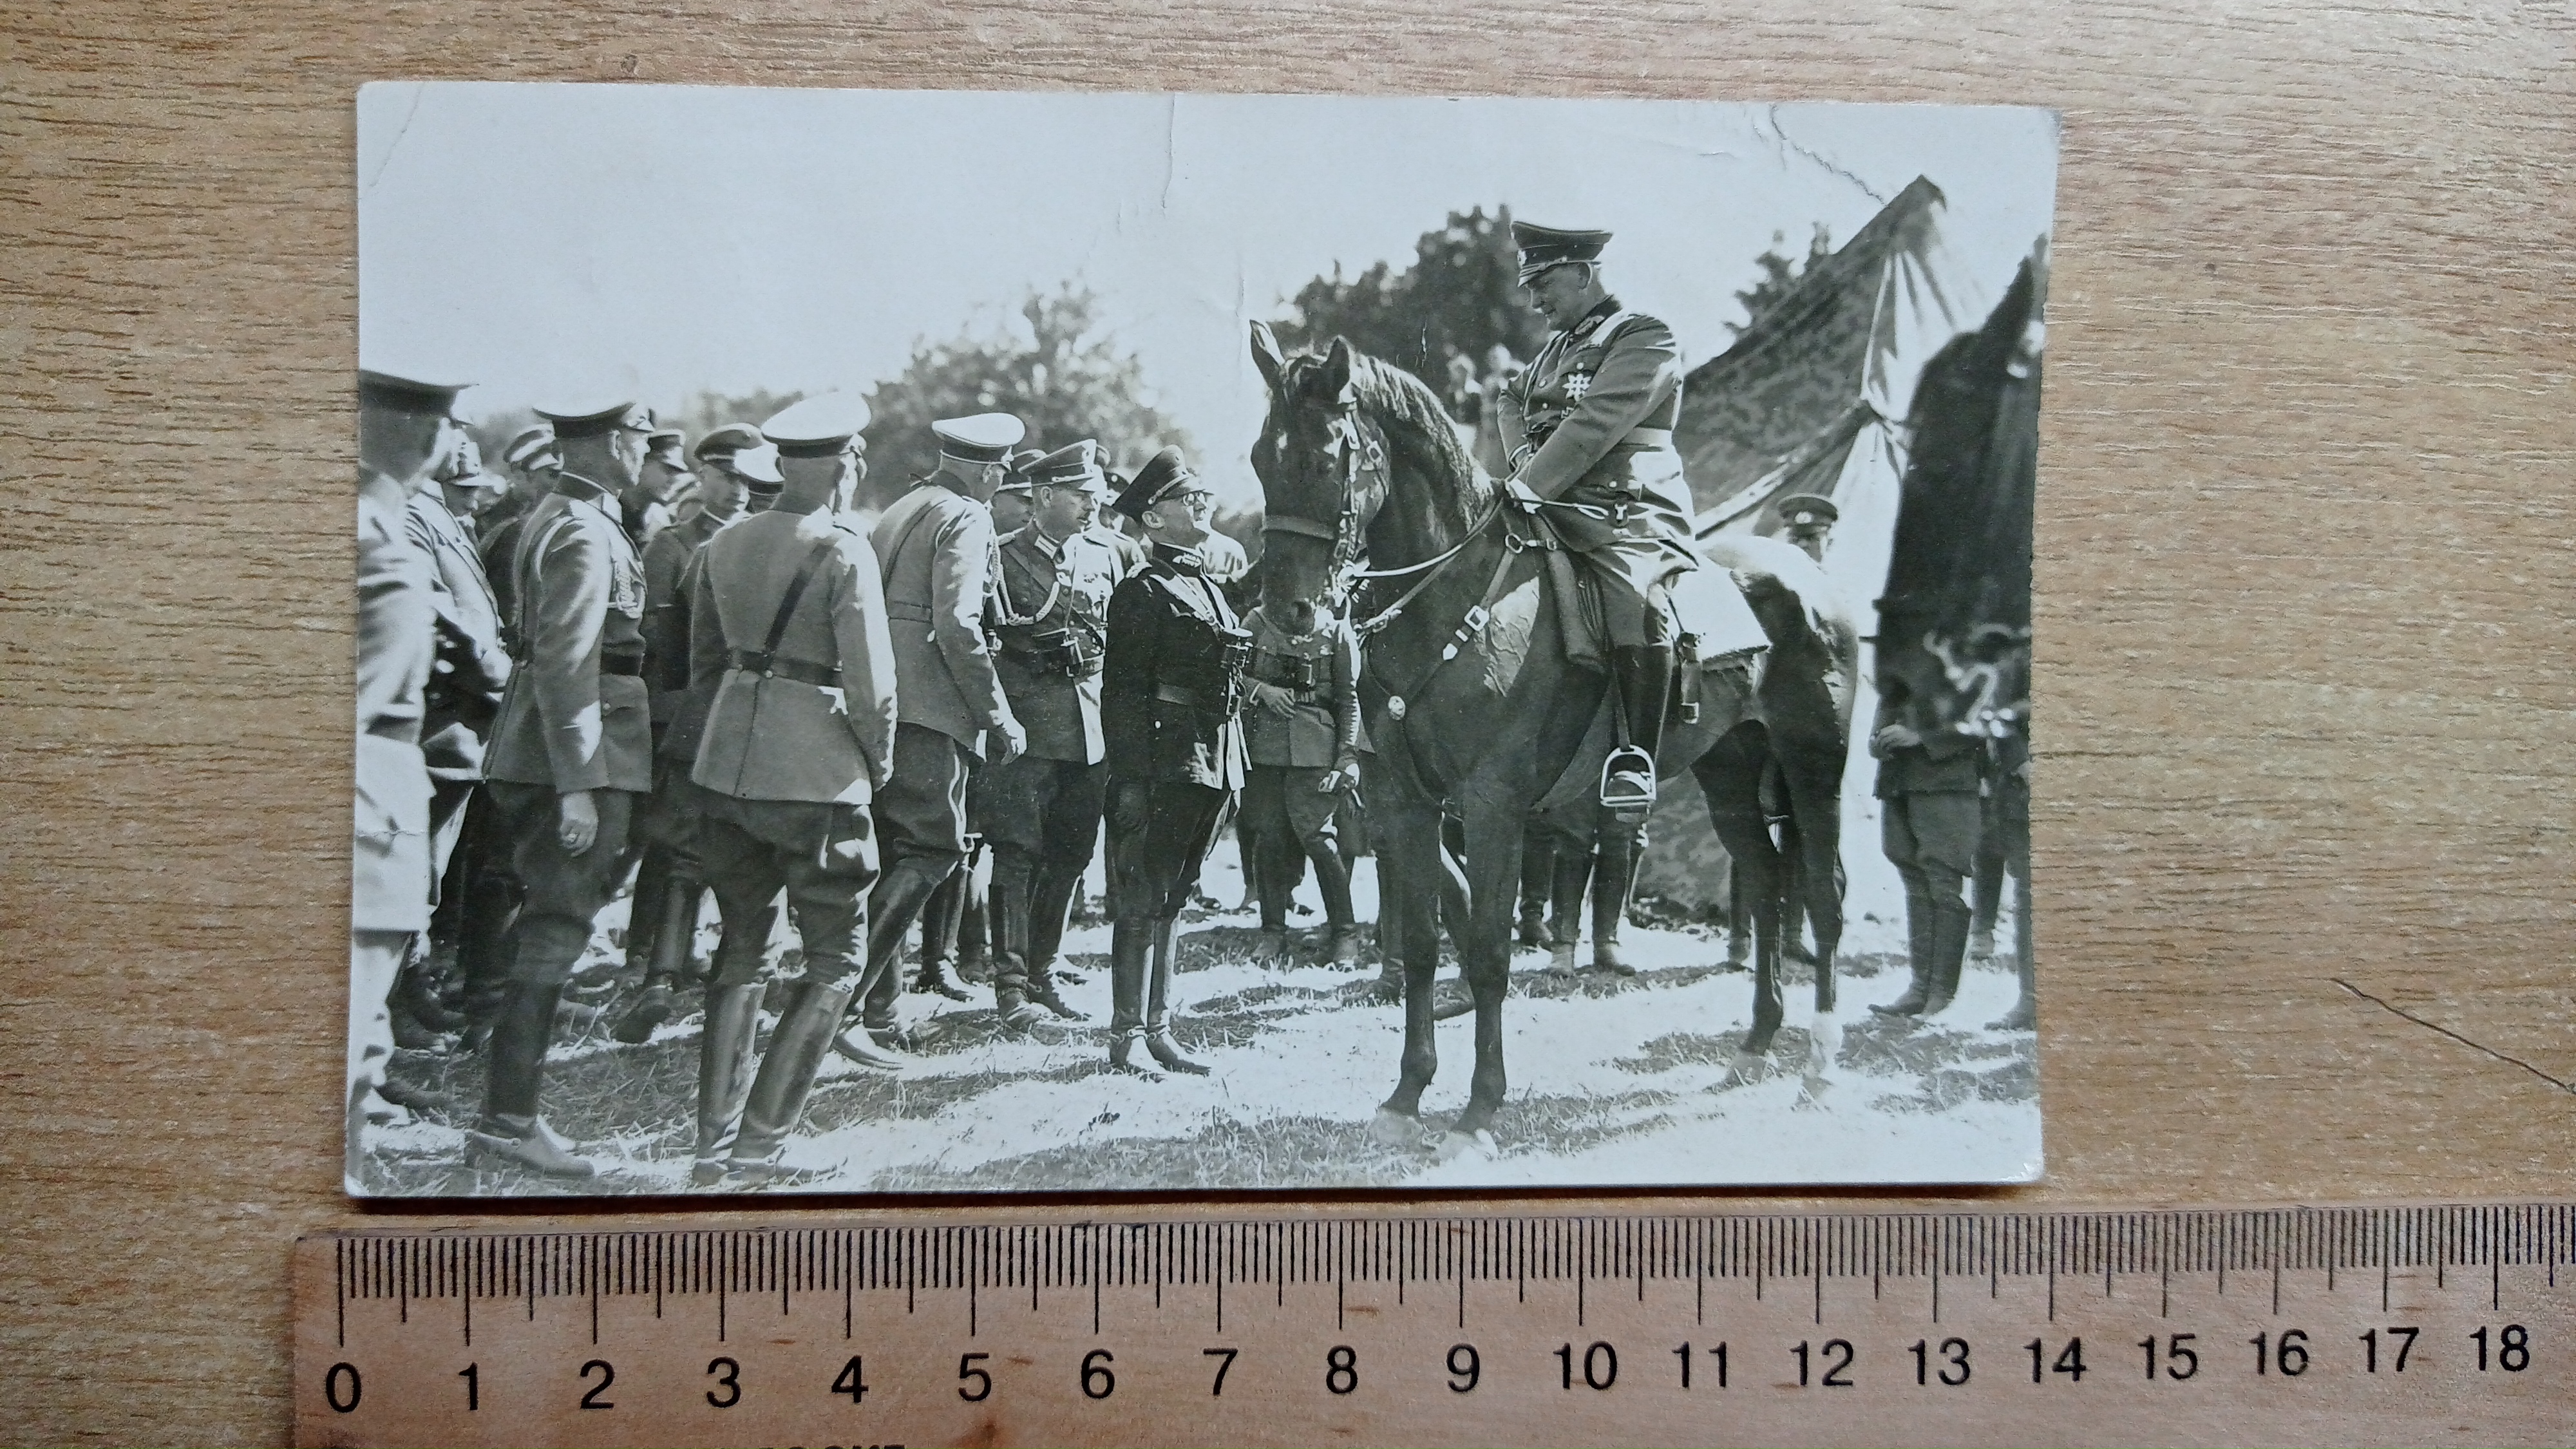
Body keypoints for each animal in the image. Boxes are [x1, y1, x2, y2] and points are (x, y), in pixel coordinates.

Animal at [1248, 324, 1861, 1157]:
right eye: (1259, 458)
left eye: (1322, 457)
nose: (1289, 614)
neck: (1455, 599)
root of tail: (1809, 575)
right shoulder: (1402, 802)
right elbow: (1420, 942)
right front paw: (1406, 1096)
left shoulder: (1492, 804)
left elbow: (1487, 950)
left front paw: (1478, 1111)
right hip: (1729, 771)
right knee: (1766, 883)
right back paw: (1757, 1041)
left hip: (1812, 760)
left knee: (1822, 893)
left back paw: (1820, 1066)